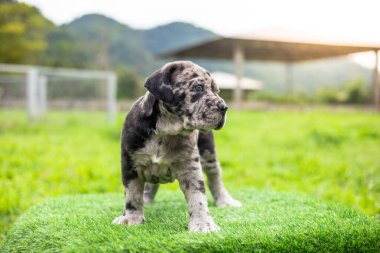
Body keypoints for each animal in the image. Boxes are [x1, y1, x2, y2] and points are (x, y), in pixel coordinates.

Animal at [113, 60, 240, 232]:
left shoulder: (190, 168)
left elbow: (198, 198)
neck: (165, 131)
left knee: (215, 178)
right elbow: (133, 195)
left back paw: (225, 201)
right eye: (198, 88)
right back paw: (147, 198)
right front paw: (131, 218)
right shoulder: (129, 164)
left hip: (208, 154)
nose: (224, 107)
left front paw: (203, 224)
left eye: (216, 90)